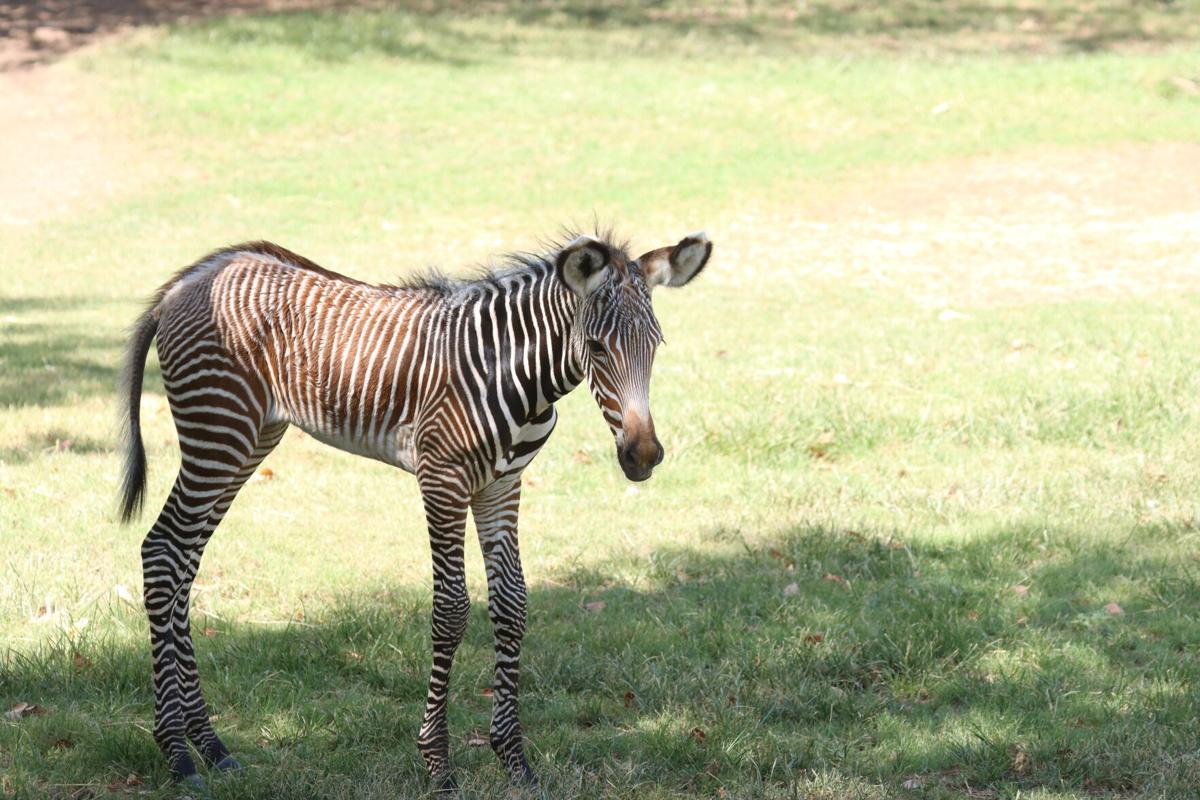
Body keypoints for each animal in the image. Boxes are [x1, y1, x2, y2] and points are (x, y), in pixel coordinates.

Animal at [117, 230, 712, 789]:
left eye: (656, 346)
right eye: (596, 347)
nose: (642, 456)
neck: (516, 377)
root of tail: (191, 279)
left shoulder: (502, 487)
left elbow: (513, 605)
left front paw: (515, 761)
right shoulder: (442, 480)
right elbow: (450, 610)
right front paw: (438, 764)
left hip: (249, 439)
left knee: (184, 561)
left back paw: (210, 746)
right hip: (219, 432)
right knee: (163, 551)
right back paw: (177, 754)